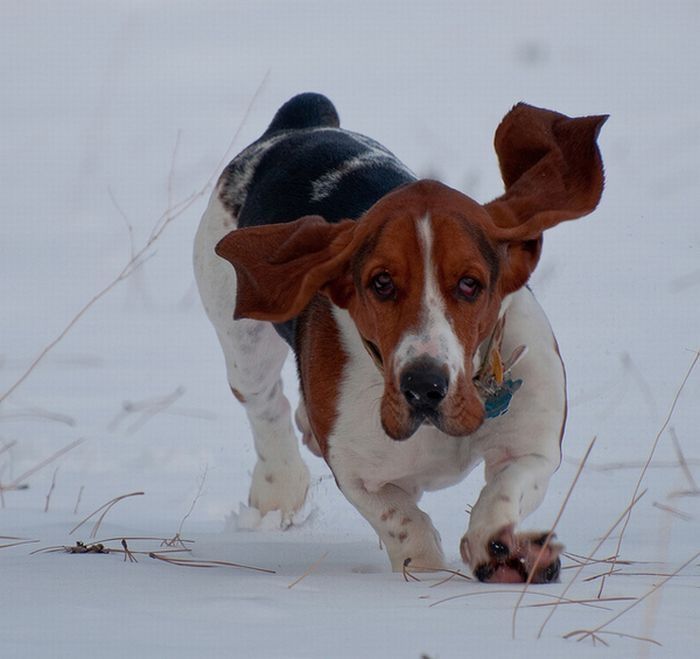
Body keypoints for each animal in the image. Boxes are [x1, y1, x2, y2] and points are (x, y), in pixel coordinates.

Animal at [194, 93, 604, 584]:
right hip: (241, 338)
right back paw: (280, 487)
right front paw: (423, 573)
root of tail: (299, 123)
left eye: (470, 284)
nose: (424, 386)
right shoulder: (359, 475)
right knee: (266, 406)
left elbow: (504, 492)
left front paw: (503, 548)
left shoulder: (532, 446)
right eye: (382, 283)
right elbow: (404, 523)